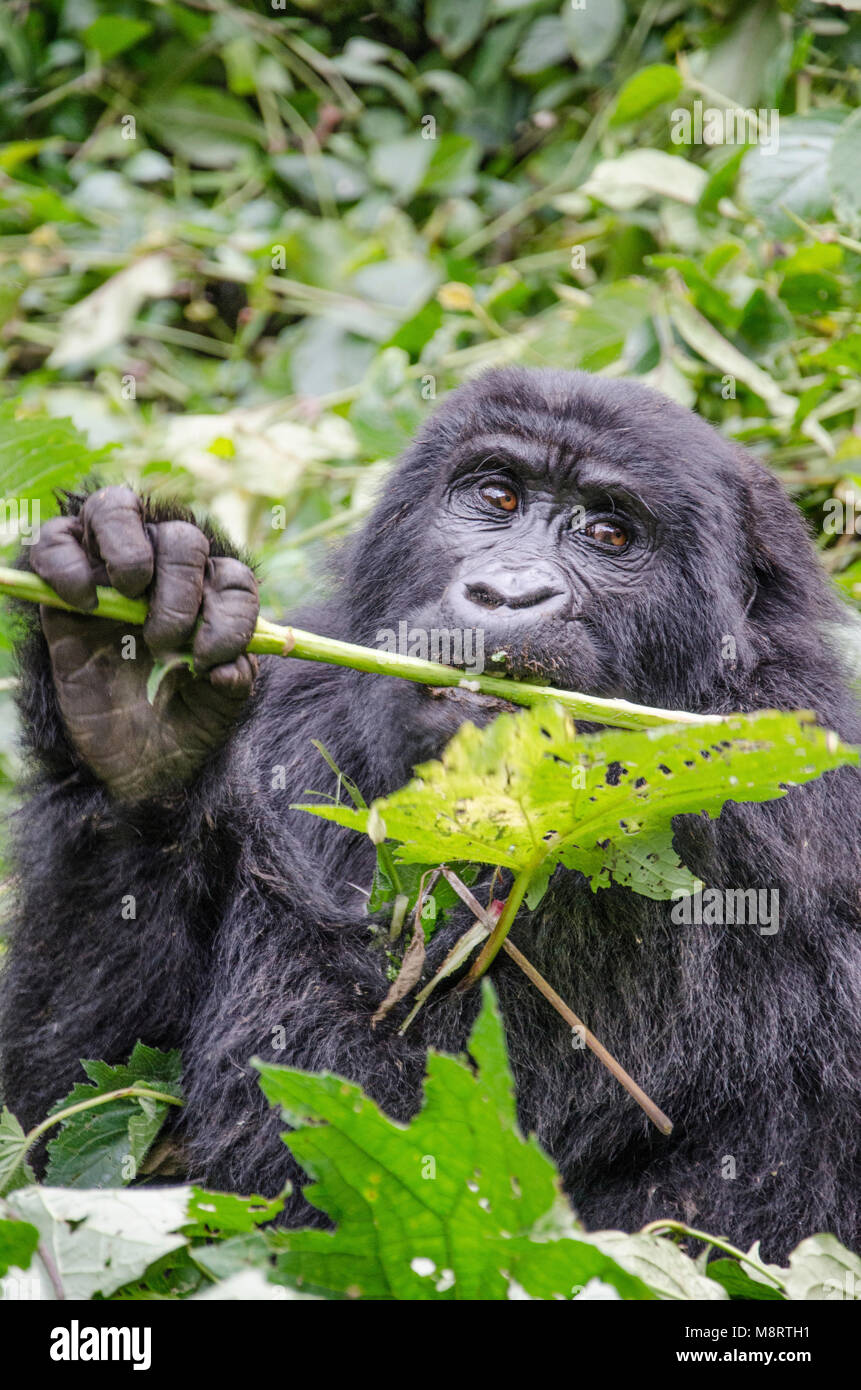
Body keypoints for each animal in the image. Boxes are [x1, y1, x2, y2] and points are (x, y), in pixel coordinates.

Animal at [0, 369, 856, 1262]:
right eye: (496, 496)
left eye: (610, 534)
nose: (508, 592)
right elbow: (73, 1122)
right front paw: (134, 712)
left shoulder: (705, 819)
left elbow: (386, 1153)